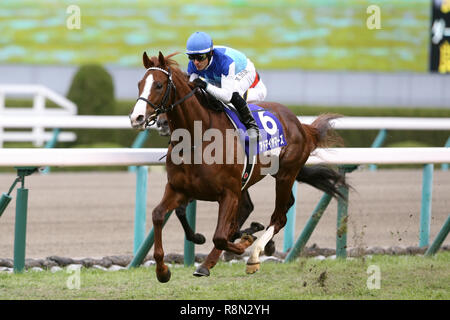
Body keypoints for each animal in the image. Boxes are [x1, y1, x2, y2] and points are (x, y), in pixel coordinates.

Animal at [128, 52, 342, 282]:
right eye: (139, 84)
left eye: (159, 85)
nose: (136, 118)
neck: (198, 137)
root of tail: (301, 125)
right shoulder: (179, 188)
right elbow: (159, 215)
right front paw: (163, 270)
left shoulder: (228, 193)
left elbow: (220, 237)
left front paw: (245, 241)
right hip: (255, 179)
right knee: (261, 207)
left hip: (285, 175)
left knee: (278, 217)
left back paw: (254, 253)